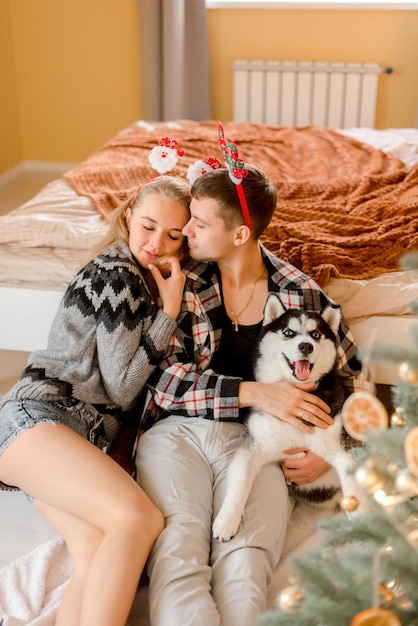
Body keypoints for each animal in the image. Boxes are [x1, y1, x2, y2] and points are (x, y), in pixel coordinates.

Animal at [212, 294, 362, 540]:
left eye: (316, 334)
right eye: (288, 332)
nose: (305, 346)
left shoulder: (342, 449)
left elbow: (354, 490)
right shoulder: (253, 447)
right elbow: (239, 485)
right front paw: (227, 521)